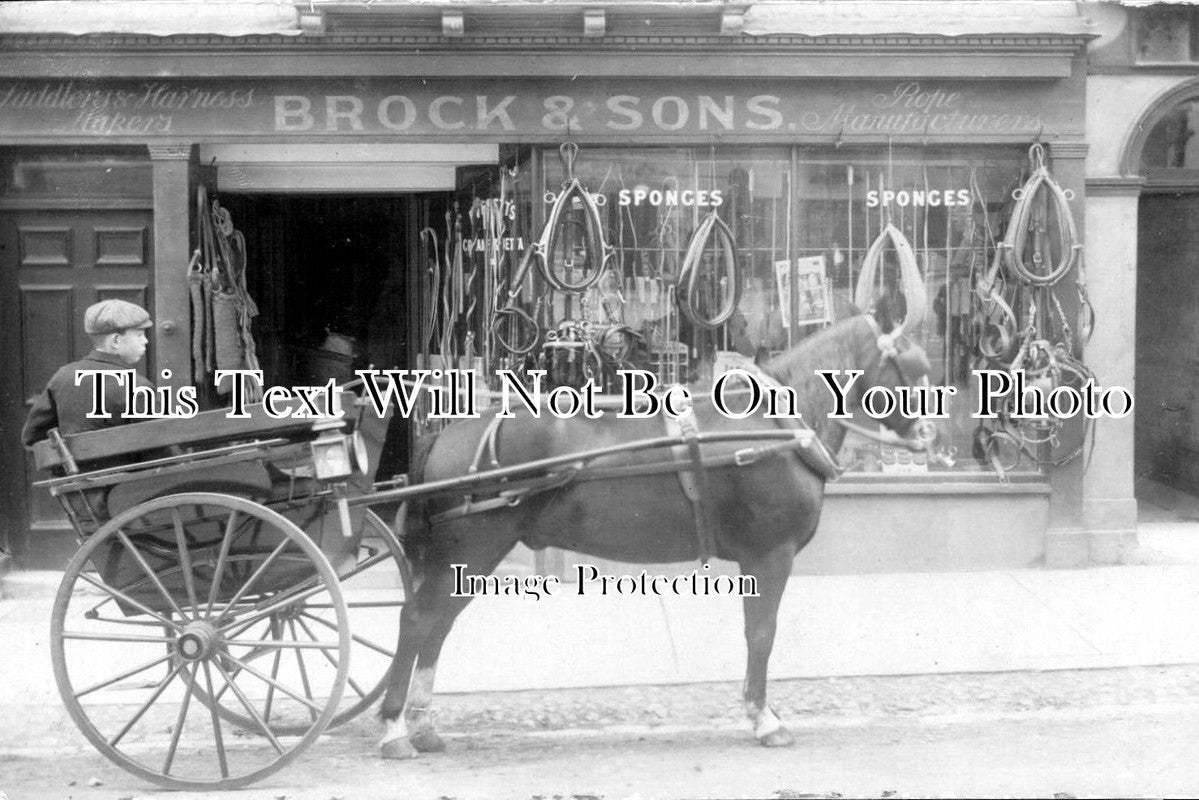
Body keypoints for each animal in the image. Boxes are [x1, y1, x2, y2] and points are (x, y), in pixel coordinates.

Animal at [378, 299, 930, 758]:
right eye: (914, 367)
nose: (930, 435)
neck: (775, 426)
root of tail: (451, 432)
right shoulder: (770, 555)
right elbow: (761, 634)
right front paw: (763, 718)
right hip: (473, 547)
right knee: (418, 621)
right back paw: (394, 729)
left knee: (437, 626)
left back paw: (422, 726)